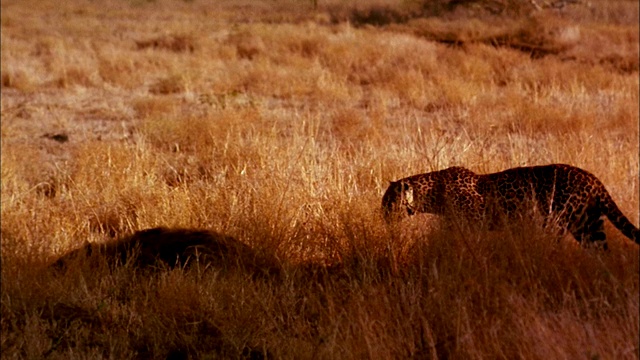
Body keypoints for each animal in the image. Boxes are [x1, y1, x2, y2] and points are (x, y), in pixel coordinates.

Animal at [382, 164, 636, 250]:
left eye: (388, 202)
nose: (382, 215)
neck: (433, 192)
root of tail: (593, 178)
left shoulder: (474, 223)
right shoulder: (455, 225)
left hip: (560, 222)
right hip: (590, 226)